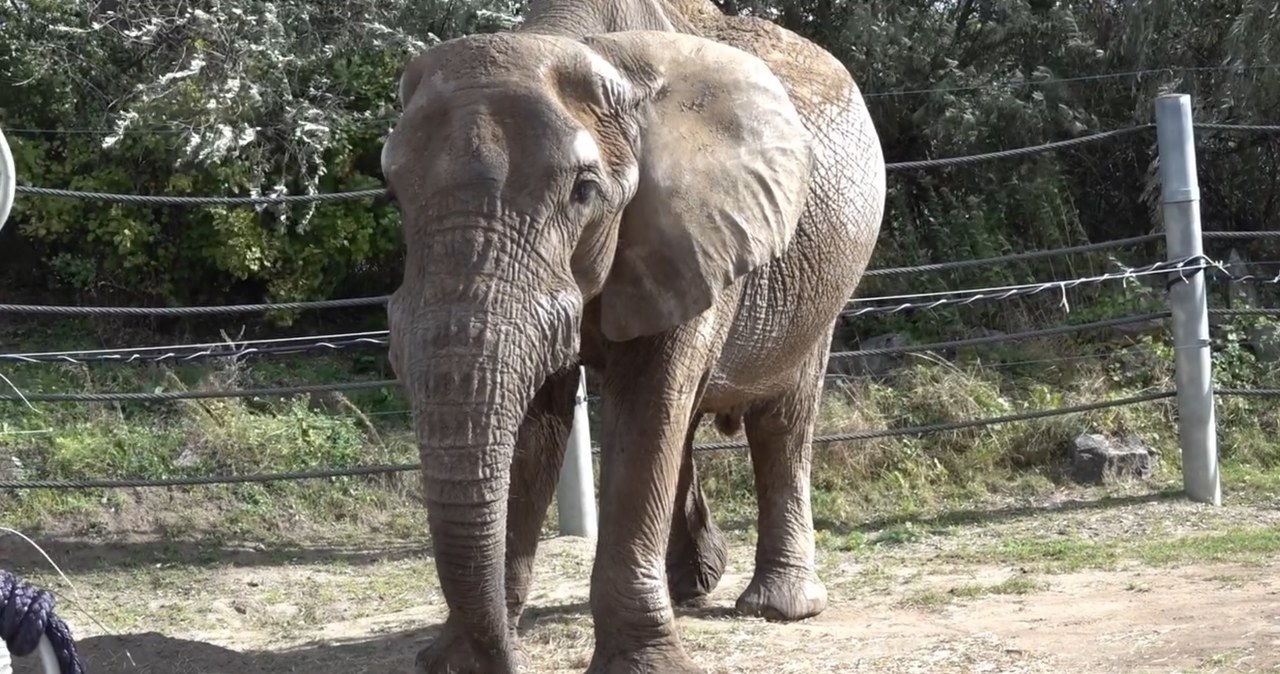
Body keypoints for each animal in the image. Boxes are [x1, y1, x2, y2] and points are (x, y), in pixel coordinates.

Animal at [378, 0, 880, 670]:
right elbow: (540, 420)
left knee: (778, 418)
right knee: (687, 421)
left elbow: (645, 409)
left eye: (584, 192)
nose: (507, 659)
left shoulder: (692, 227)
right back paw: (691, 586)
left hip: (823, 290)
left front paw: (644, 664)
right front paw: (459, 657)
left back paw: (778, 606)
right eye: (393, 190)